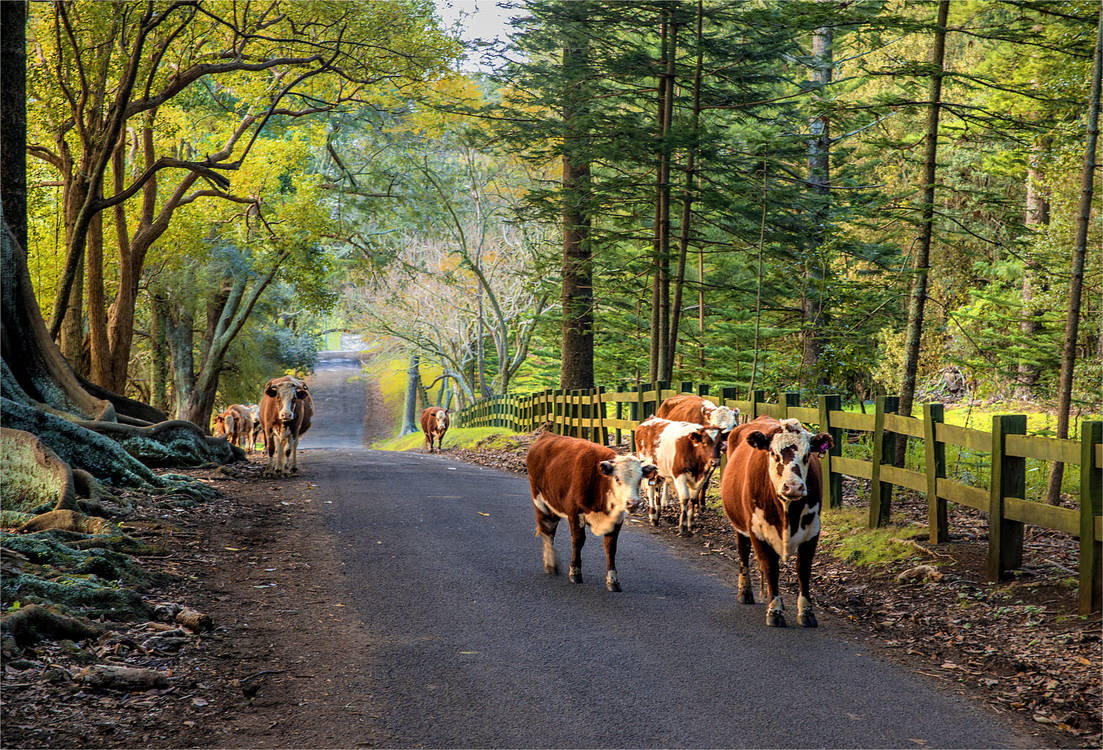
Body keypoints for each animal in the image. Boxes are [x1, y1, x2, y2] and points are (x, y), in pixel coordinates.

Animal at [525, 434, 652, 591]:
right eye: (617, 478)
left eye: (640, 479)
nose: (633, 503)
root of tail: (547, 435)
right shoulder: (575, 513)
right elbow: (578, 541)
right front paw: (575, 573)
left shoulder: (617, 518)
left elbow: (611, 547)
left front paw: (613, 580)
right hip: (540, 501)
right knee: (547, 530)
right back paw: (550, 564)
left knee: (551, 529)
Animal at [719, 416, 829, 626]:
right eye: (773, 453)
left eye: (807, 454)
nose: (793, 486)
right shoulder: (757, 530)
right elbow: (770, 567)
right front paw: (775, 611)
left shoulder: (812, 531)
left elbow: (803, 569)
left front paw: (806, 612)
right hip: (740, 526)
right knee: (743, 552)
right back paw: (745, 592)